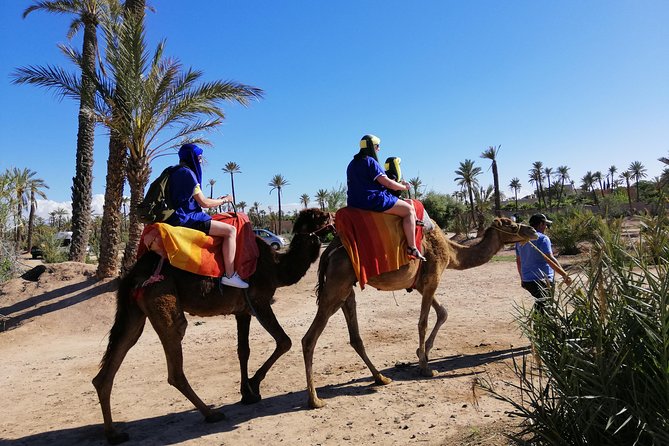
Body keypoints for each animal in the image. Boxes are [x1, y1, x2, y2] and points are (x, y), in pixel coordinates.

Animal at [92, 208, 332, 442]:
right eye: (322, 216)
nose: (332, 223)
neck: (276, 267)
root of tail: (132, 274)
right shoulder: (259, 301)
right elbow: (284, 341)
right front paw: (254, 384)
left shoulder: (242, 311)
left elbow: (243, 351)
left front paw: (247, 393)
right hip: (161, 298)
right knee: (175, 364)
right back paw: (211, 414)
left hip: (134, 313)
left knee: (113, 361)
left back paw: (113, 433)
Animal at [302, 216, 536, 408]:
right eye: (512, 225)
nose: (533, 229)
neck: (451, 252)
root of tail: (327, 253)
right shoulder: (433, 278)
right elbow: (423, 322)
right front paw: (425, 367)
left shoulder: (422, 285)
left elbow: (443, 312)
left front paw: (422, 353)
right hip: (336, 284)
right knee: (309, 338)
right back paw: (315, 400)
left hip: (346, 289)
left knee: (355, 336)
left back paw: (381, 378)